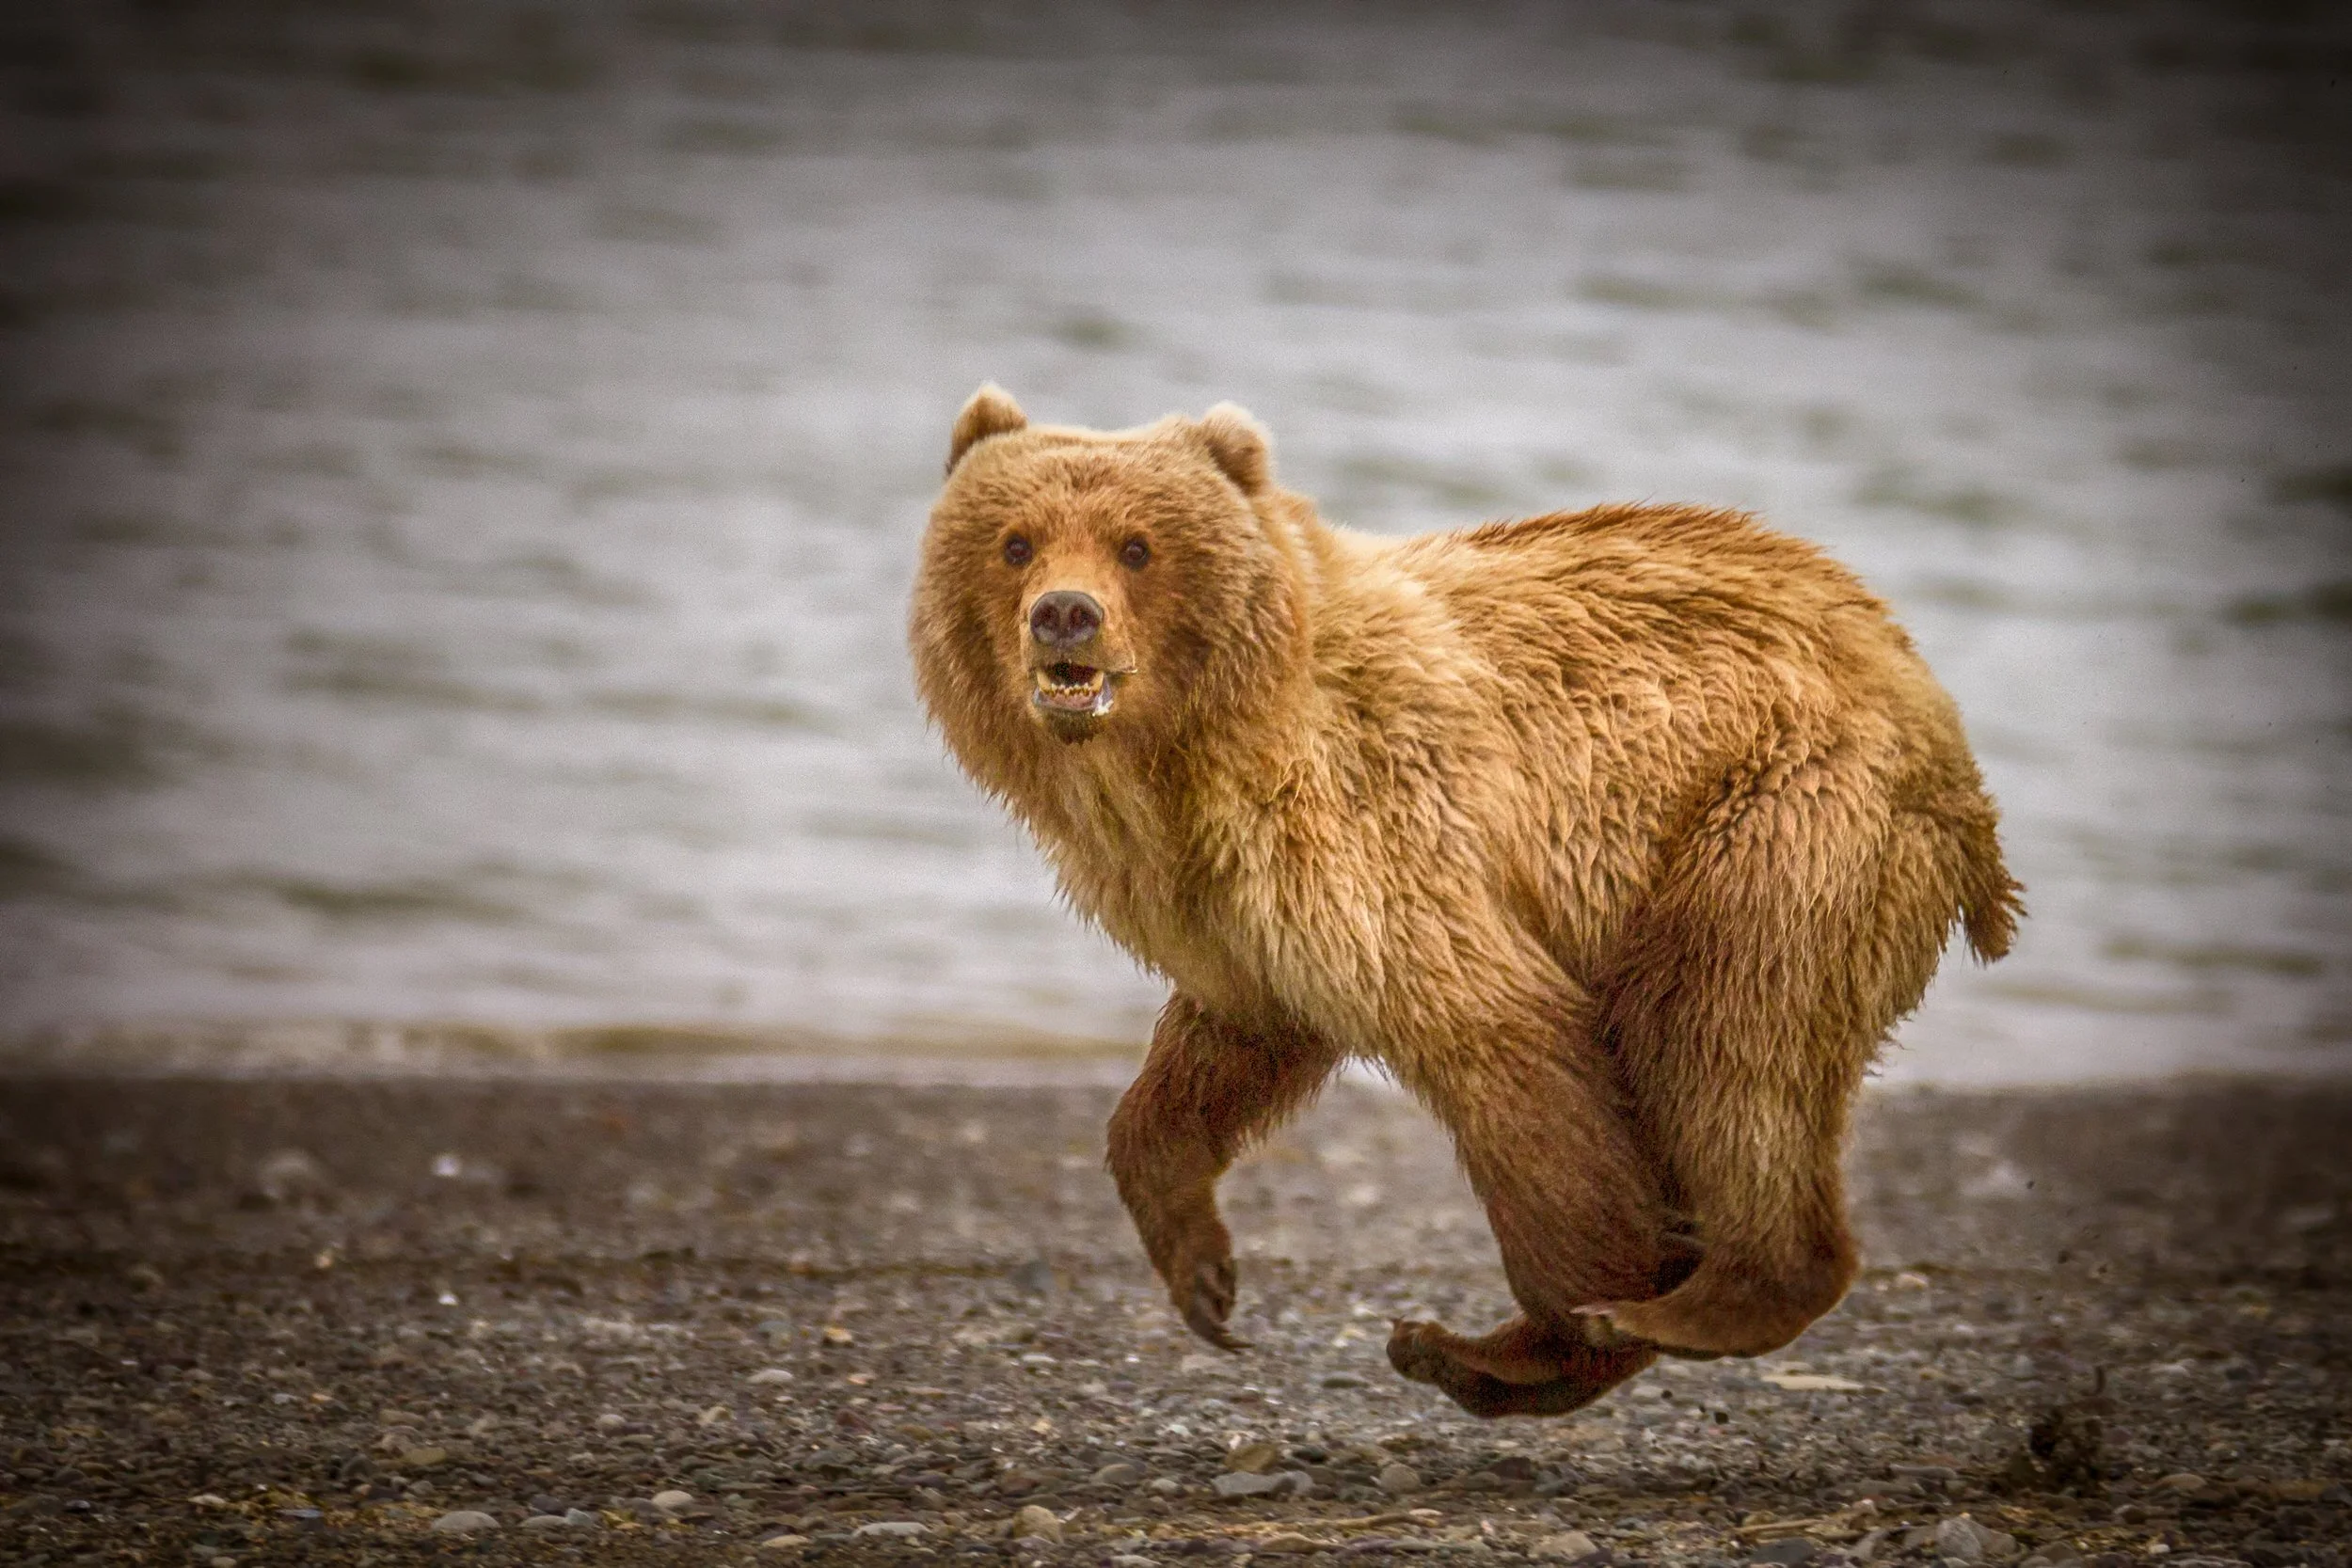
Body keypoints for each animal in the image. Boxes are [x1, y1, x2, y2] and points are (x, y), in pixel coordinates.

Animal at [909, 385, 2022, 1417]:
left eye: (1137, 546)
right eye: (1014, 541)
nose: (1065, 612)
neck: (1186, 758)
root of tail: (1944, 728)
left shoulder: (1372, 824)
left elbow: (1501, 1041)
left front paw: (1561, 1325)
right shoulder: (1223, 905)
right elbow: (1227, 1040)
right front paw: (1203, 1271)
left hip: (1780, 821)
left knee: (1729, 1038)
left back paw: (1677, 1306)